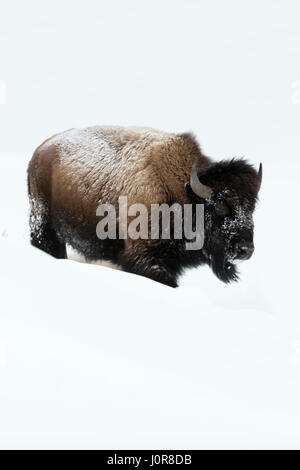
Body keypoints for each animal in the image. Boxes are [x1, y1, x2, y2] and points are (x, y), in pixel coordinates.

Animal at [28, 125, 262, 286]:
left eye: (252, 208)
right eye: (221, 206)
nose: (245, 250)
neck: (184, 193)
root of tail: (40, 150)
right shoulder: (144, 258)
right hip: (43, 226)